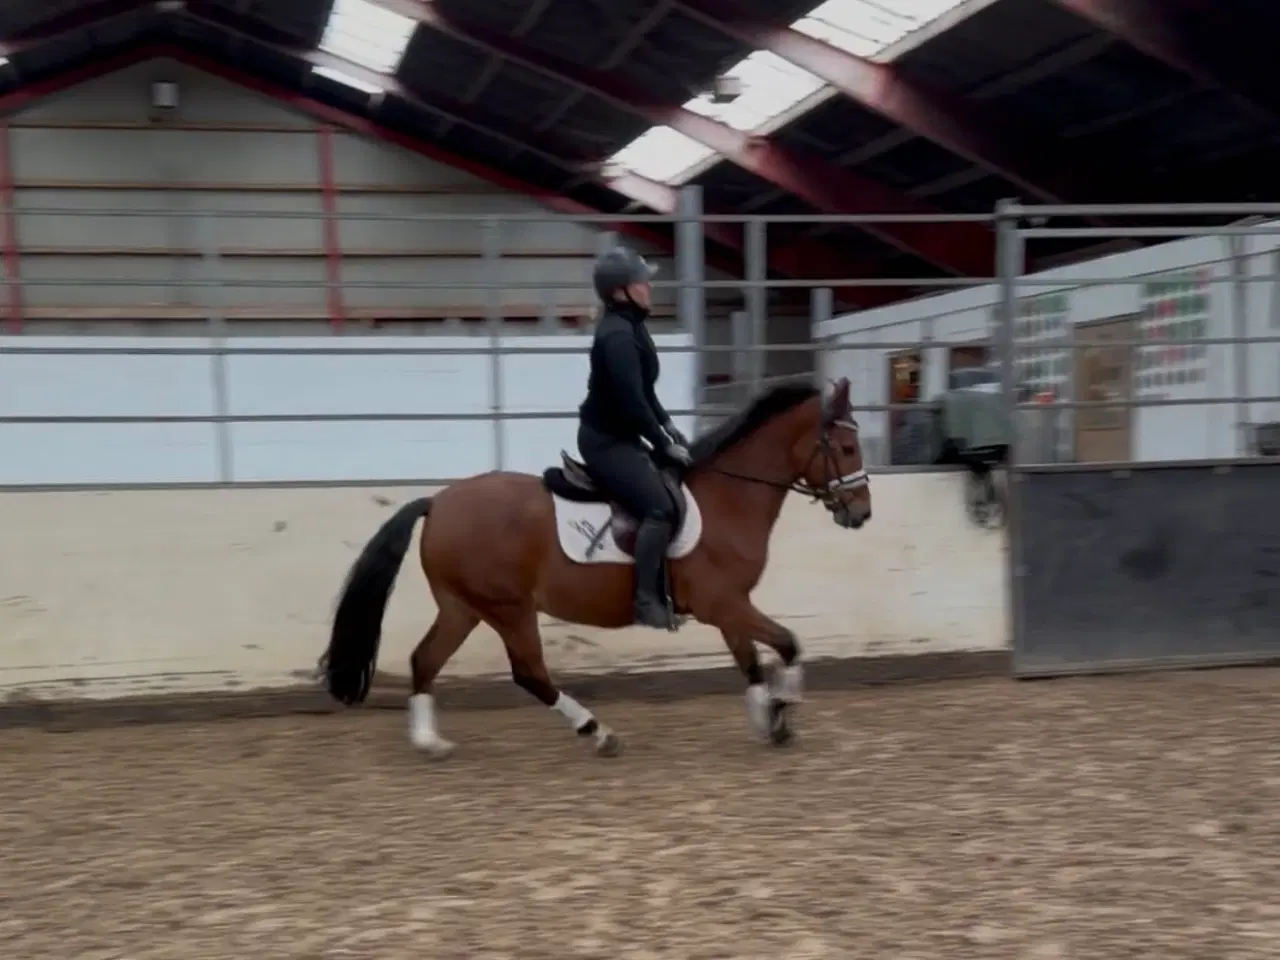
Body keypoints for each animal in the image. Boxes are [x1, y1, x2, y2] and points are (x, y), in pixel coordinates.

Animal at [322, 377, 871, 757]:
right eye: (846, 448)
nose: (861, 513)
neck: (729, 497)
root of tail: (437, 502)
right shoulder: (724, 603)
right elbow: (788, 644)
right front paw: (783, 708)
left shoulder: (730, 605)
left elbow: (751, 661)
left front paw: (768, 720)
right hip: (509, 608)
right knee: (530, 673)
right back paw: (599, 733)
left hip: (464, 606)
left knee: (425, 660)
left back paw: (429, 742)